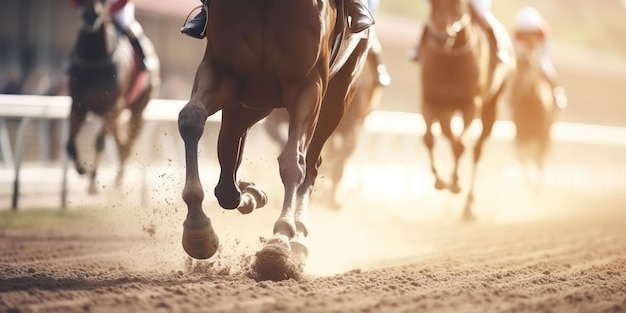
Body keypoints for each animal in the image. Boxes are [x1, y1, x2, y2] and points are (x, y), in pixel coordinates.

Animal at [65, 0, 157, 193]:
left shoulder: (113, 105)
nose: (91, 15)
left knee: (128, 143)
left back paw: (118, 180)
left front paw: (93, 182)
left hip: (138, 108)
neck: (94, 58)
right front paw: (81, 170)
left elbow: (99, 141)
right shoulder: (78, 105)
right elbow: (69, 144)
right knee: (121, 142)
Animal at [176, 0, 370, 280]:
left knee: (311, 165)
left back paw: (298, 238)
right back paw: (251, 194)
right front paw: (197, 230)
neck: (266, 4)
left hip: (338, 97)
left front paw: (279, 241)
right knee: (227, 176)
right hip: (255, 102)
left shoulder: (308, 85)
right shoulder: (222, 73)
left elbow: (293, 162)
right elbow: (190, 119)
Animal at [416, 0, 516, 219]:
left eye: (457, 3)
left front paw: (455, 183)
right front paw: (440, 179)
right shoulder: (430, 101)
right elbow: (429, 139)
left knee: (477, 149)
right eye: (431, 3)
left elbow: (460, 144)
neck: (451, 58)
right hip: (446, 109)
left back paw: (468, 204)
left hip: (491, 108)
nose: (441, 37)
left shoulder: (472, 104)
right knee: (448, 134)